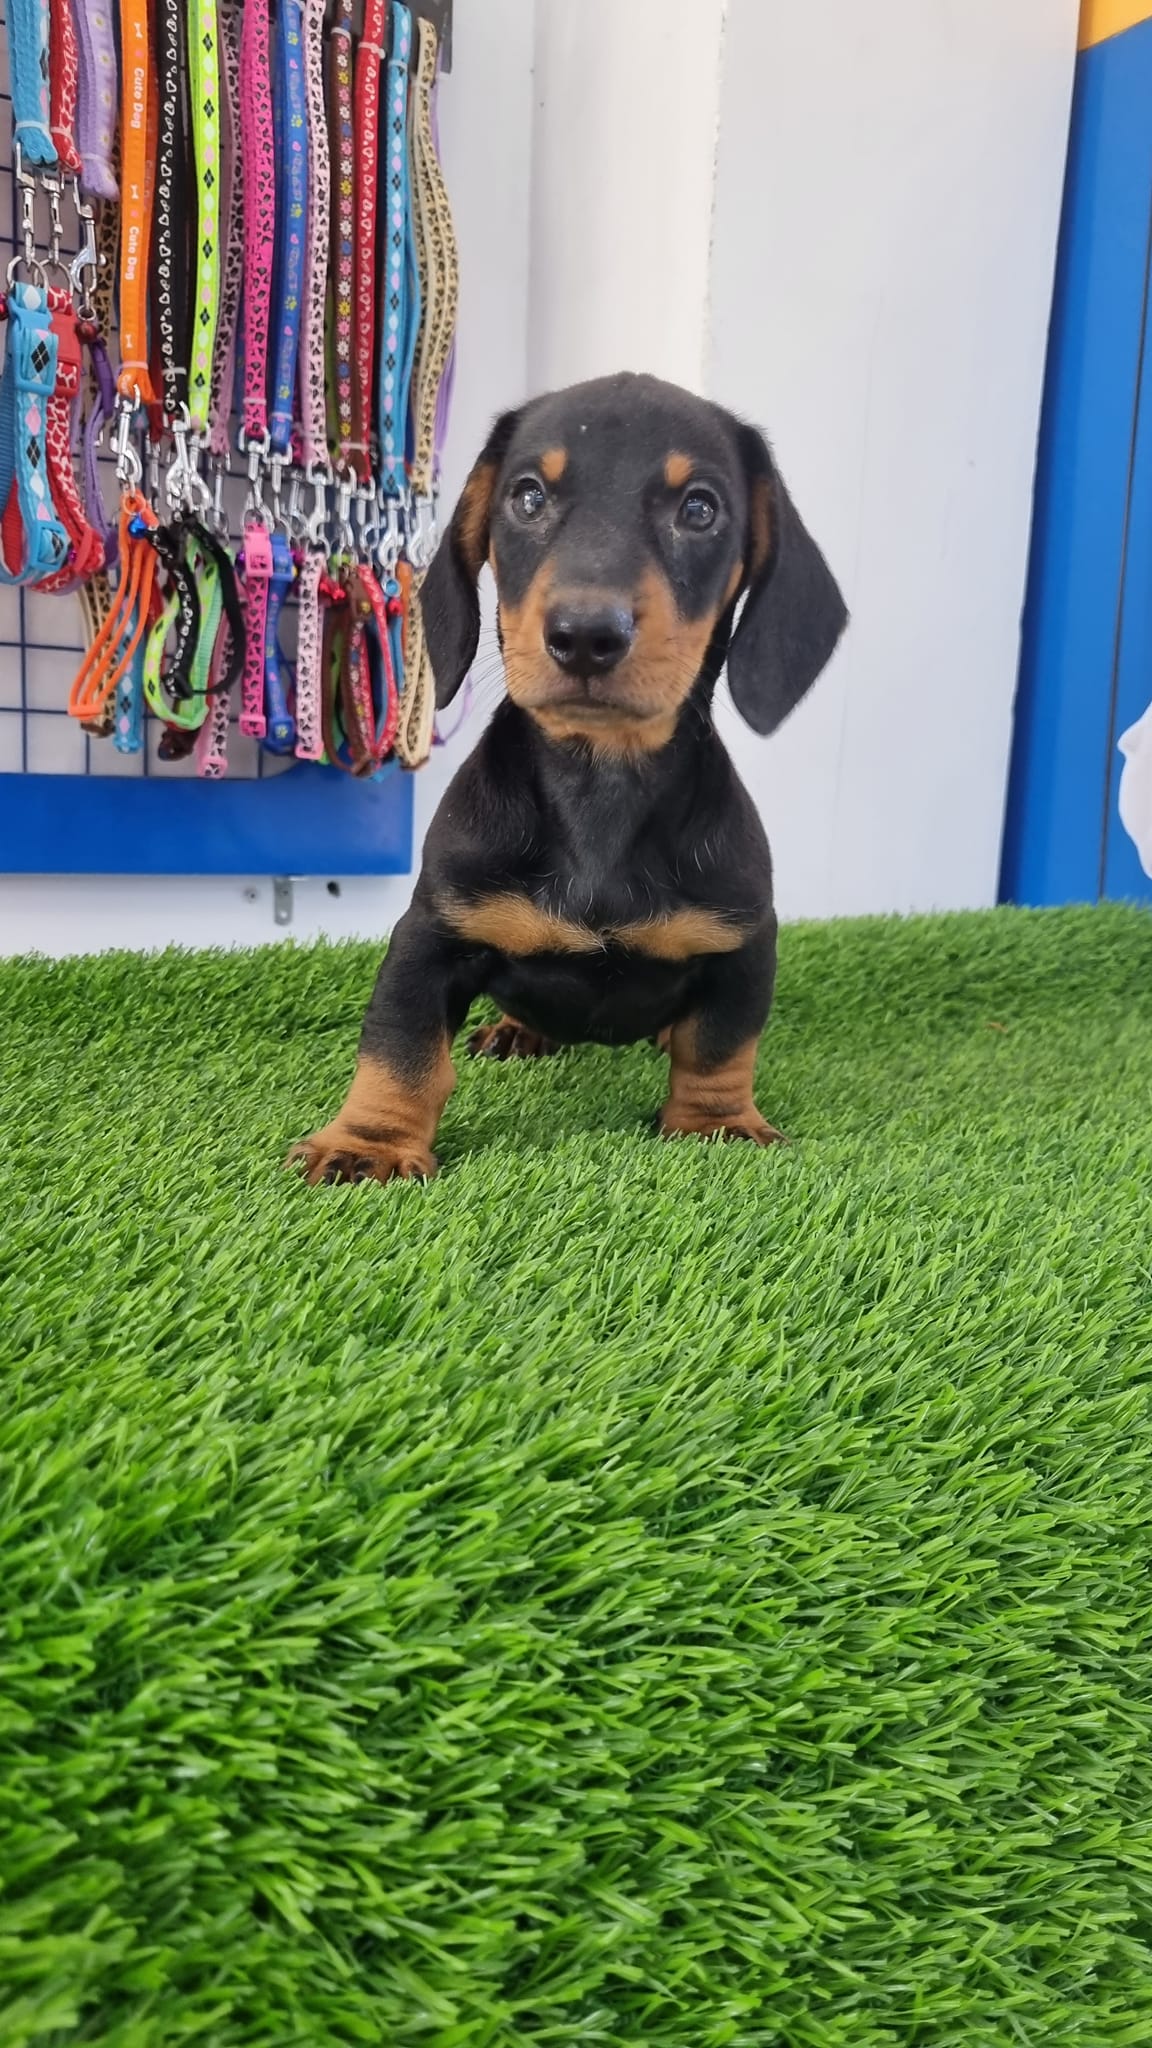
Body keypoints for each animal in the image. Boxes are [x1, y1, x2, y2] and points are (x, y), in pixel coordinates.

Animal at [291, 372, 847, 1184]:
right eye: (527, 496)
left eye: (700, 508)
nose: (586, 635)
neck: (600, 781)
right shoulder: (430, 934)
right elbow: (400, 1047)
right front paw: (370, 1142)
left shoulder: (742, 943)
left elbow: (719, 1045)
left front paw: (715, 1124)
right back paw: (514, 1031)